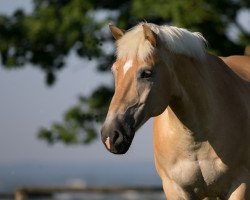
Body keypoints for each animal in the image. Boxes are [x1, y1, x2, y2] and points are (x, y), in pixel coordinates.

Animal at [100, 22, 250, 199]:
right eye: (115, 70)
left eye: (146, 73)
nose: (110, 135)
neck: (196, 138)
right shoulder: (174, 188)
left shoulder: (240, 184)